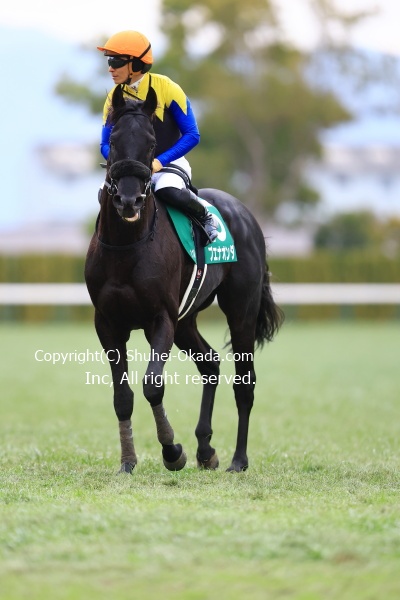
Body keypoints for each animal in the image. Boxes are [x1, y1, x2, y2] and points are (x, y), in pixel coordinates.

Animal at [85, 84, 284, 474]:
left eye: (150, 143)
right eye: (112, 139)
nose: (129, 200)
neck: (127, 246)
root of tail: (246, 216)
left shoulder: (159, 318)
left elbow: (152, 385)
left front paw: (172, 451)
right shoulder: (108, 324)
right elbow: (122, 396)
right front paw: (128, 462)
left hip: (241, 311)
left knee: (245, 383)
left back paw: (238, 460)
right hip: (186, 319)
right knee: (210, 364)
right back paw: (206, 450)